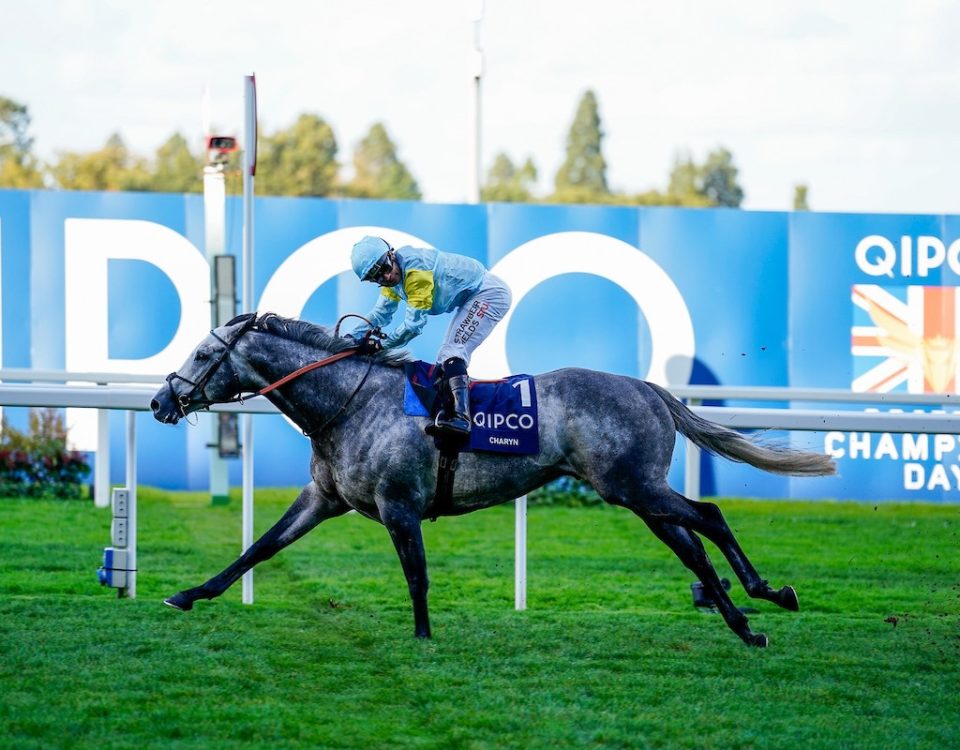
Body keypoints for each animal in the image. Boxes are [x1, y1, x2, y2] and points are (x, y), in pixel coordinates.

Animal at [148, 312, 832, 648]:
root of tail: (647, 388)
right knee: (693, 549)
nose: (159, 401)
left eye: (203, 355)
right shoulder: (324, 498)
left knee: (709, 516)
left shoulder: (399, 505)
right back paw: (746, 625)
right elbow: (258, 548)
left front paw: (423, 638)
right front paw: (189, 594)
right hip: (637, 496)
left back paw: (770, 594)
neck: (349, 402)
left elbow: (417, 575)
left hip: (635, 488)